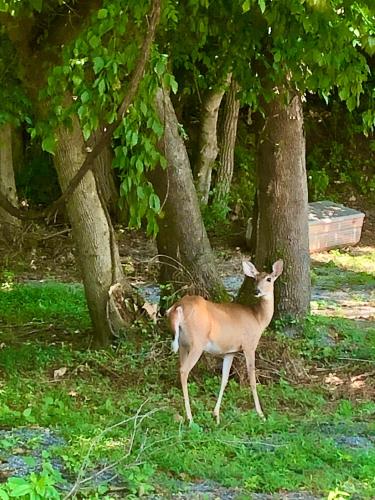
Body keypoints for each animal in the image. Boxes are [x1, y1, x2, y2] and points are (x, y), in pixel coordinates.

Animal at [166, 260, 284, 424]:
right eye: (255, 279)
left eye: (268, 279)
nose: (256, 291)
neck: (258, 319)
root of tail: (178, 307)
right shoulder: (249, 345)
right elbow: (252, 378)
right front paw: (261, 414)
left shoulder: (230, 351)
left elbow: (224, 379)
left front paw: (216, 414)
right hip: (197, 343)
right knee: (184, 371)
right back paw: (190, 418)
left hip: (183, 344)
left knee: (181, 367)